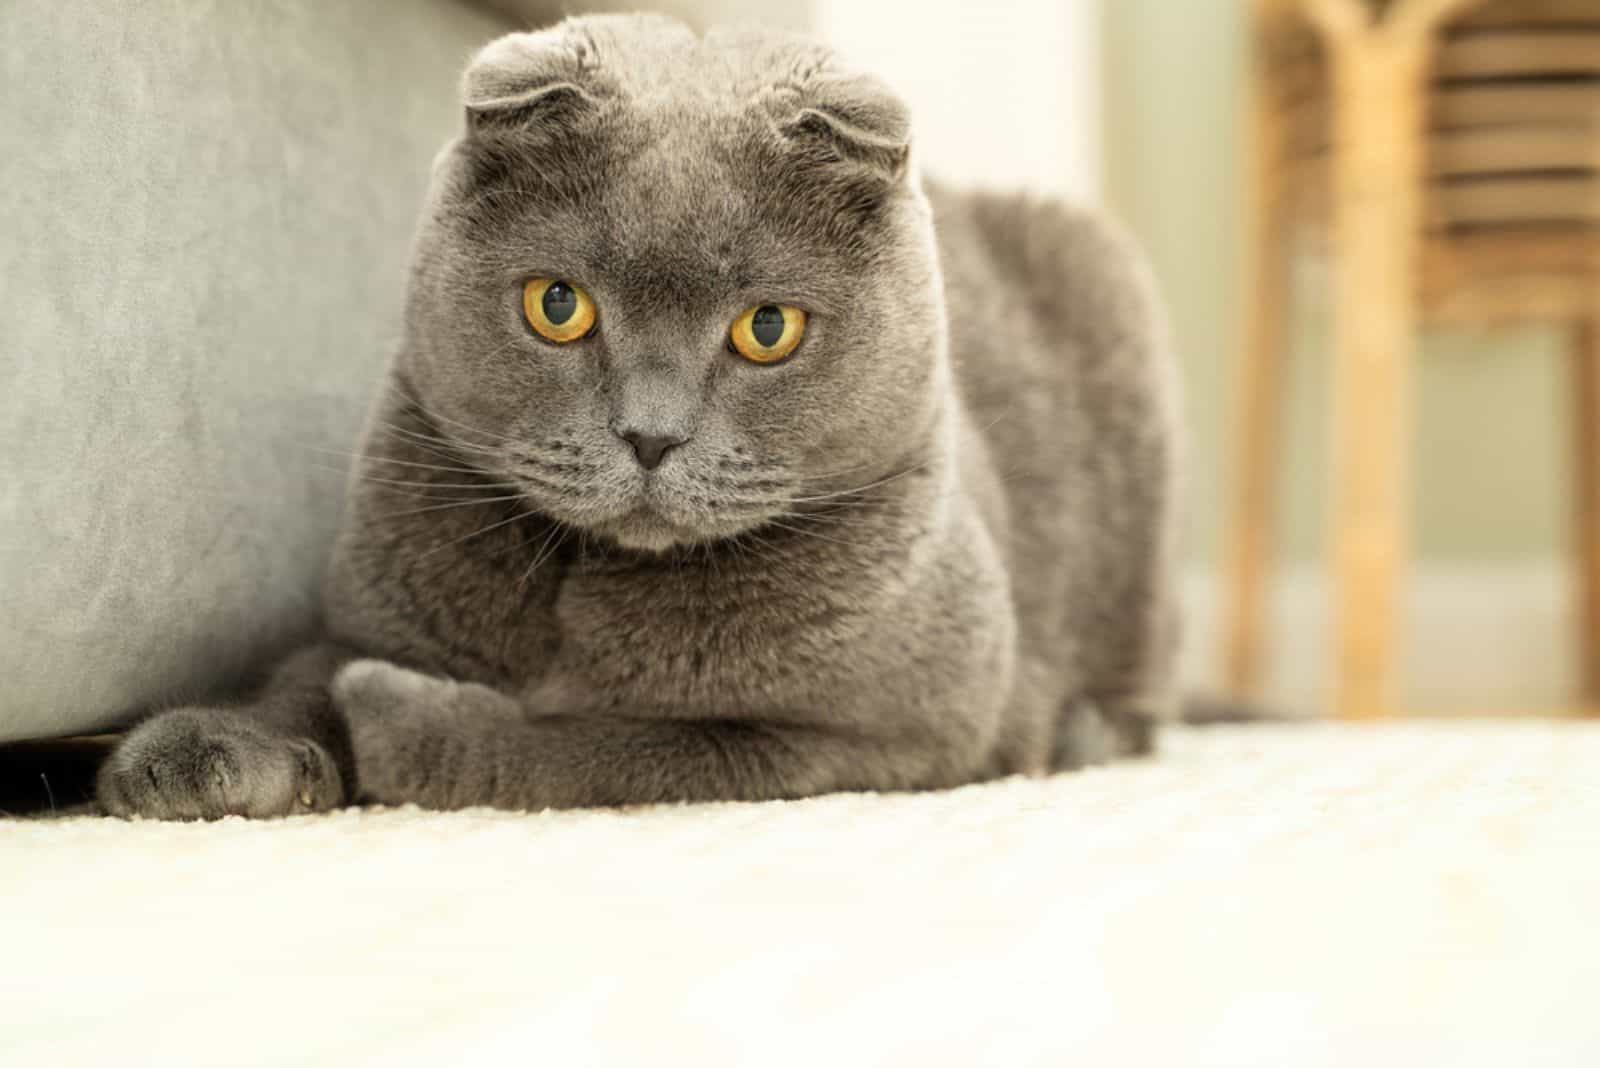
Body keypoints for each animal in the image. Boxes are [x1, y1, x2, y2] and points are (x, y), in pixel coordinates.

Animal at [96, 12, 1177, 818]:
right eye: (557, 305)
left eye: (768, 328)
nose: (650, 436)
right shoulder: (372, 609)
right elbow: (301, 672)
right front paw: (199, 752)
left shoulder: (879, 738)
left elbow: (607, 748)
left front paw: (390, 715)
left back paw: (1081, 731)